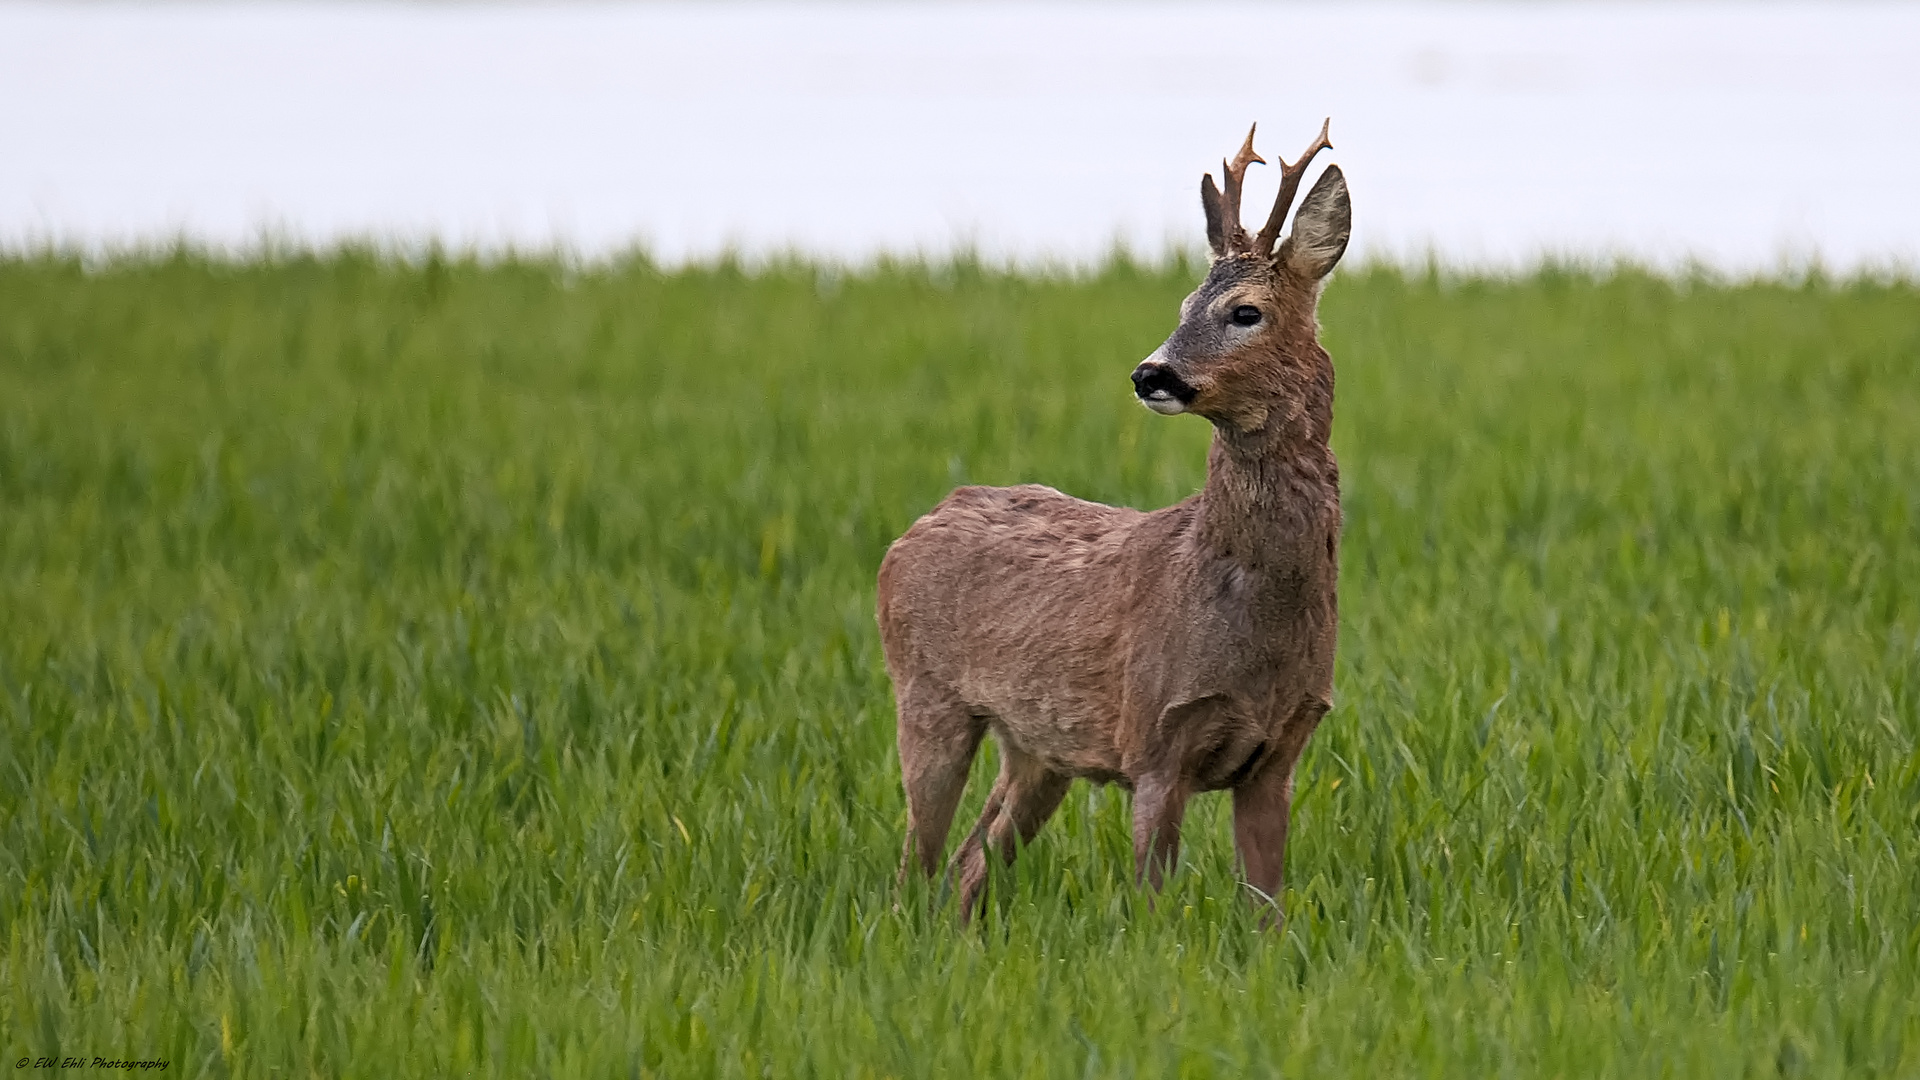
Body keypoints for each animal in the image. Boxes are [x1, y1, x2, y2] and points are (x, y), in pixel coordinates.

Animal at [879, 123, 1344, 914]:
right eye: (1183, 304)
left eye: (1245, 311)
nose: (1150, 374)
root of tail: (913, 528)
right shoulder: (1154, 737)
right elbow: (1152, 906)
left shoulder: (1280, 750)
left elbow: (1269, 913)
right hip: (926, 692)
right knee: (916, 864)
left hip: (1037, 748)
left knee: (970, 863)